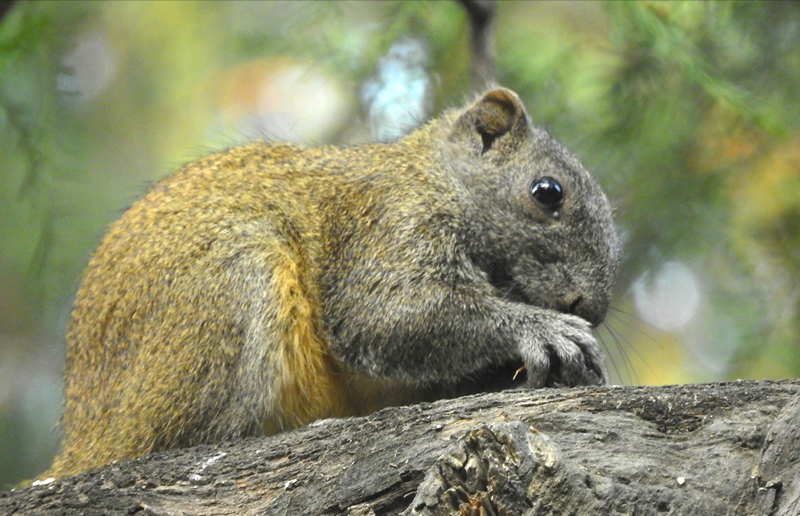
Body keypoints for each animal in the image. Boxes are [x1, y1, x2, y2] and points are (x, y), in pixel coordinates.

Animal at [43, 86, 620, 478]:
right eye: (547, 192)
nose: (588, 306)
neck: (437, 178)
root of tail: (84, 440)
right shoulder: (387, 224)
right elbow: (388, 316)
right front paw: (544, 329)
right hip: (233, 282)